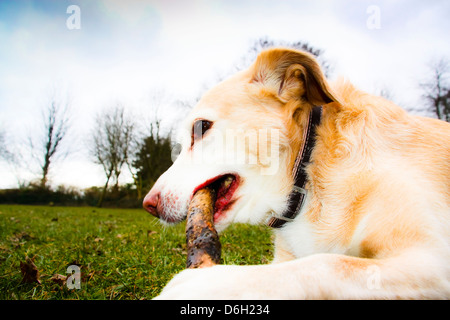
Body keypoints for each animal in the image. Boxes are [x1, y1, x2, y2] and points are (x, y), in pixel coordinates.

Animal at [144, 47, 450, 300]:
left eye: (201, 127)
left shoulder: (428, 260)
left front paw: (208, 284)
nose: (149, 204)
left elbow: (326, 264)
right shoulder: (282, 259)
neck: (306, 173)